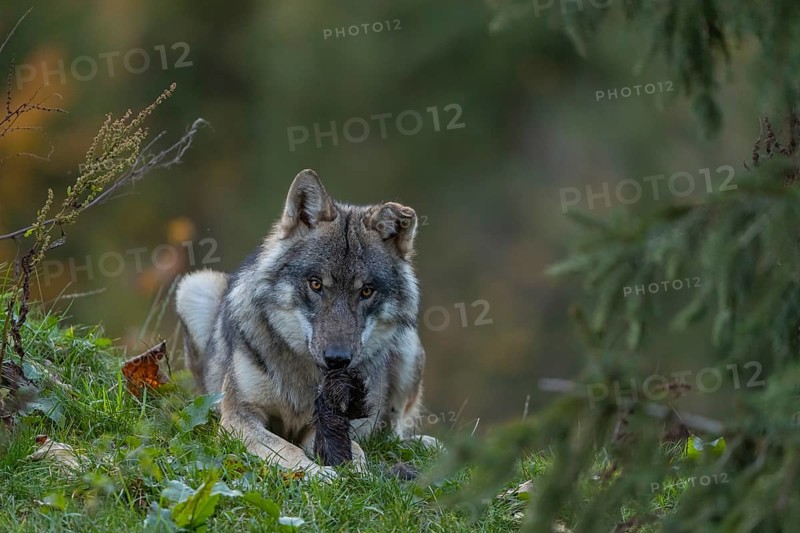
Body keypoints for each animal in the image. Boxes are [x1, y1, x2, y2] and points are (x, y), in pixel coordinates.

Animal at [175, 169, 433, 478]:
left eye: (366, 291)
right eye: (316, 284)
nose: (338, 359)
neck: (306, 375)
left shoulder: (332, 422)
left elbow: (355, 448)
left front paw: (357, 472)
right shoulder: (239, 416)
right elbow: (286, 449)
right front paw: (320, 475)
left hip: (408, 346)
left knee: (393, 432)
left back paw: (424, 443)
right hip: (194, 287)